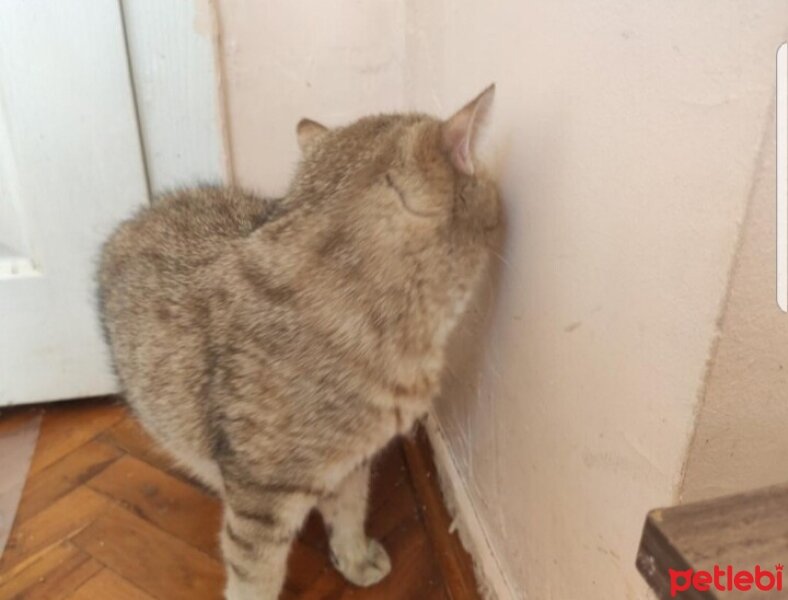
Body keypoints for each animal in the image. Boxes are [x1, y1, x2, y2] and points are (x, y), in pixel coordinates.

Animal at [97, 85, 498, 600]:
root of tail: (138, 217)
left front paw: (353, 559)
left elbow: (350, 511)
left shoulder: (353, 461)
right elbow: (255, 576)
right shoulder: (260, 503)